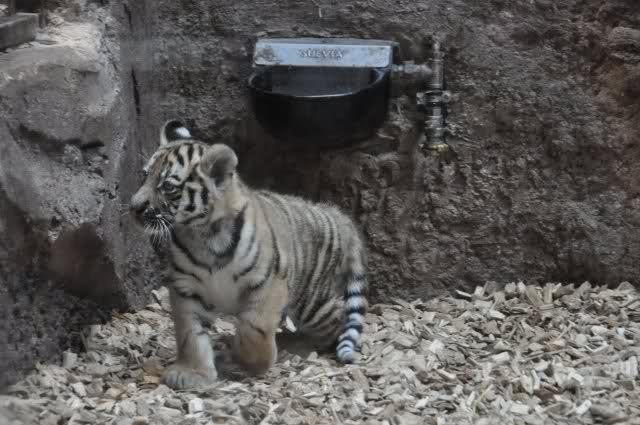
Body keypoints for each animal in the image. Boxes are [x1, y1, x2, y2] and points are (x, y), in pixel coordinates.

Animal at [129, 119, 369, 390]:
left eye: (167, 186)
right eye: (145, 175)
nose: (134, 207)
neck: (202, 234)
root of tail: (338, 216)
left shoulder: (268, 282)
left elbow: (255, 330)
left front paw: (246, 364)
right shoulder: (185, 287)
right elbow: (190, 334)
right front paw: (192, 373)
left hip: (311, 300)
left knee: (336, 319)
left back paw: (294, 346)